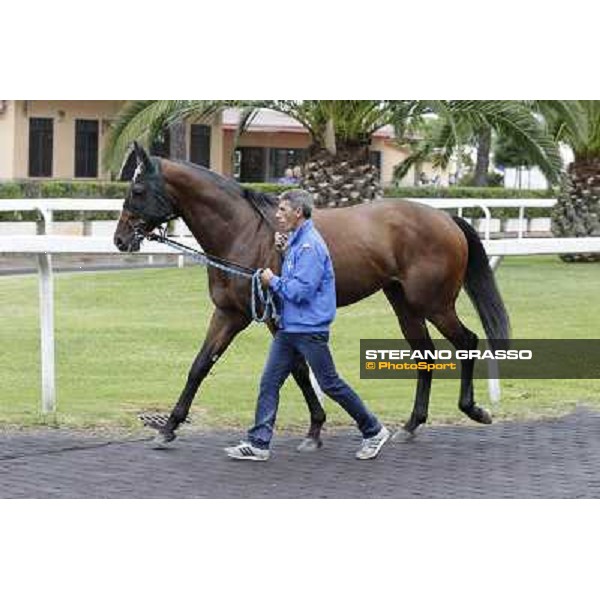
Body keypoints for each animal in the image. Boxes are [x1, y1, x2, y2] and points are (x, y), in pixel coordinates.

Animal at [115, 143, 508, 448]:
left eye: (137, 190)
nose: (120, 239)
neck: (244, 232)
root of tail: (445, 218)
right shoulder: (229, 314)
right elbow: (200, 366)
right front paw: (168, 427)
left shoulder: (276, 318)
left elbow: (299, 370)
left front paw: (316, 428)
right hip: (405, 304)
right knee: (424, 354)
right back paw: (412, 425)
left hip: (435, 303)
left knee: (467, 341)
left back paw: (474, 409)